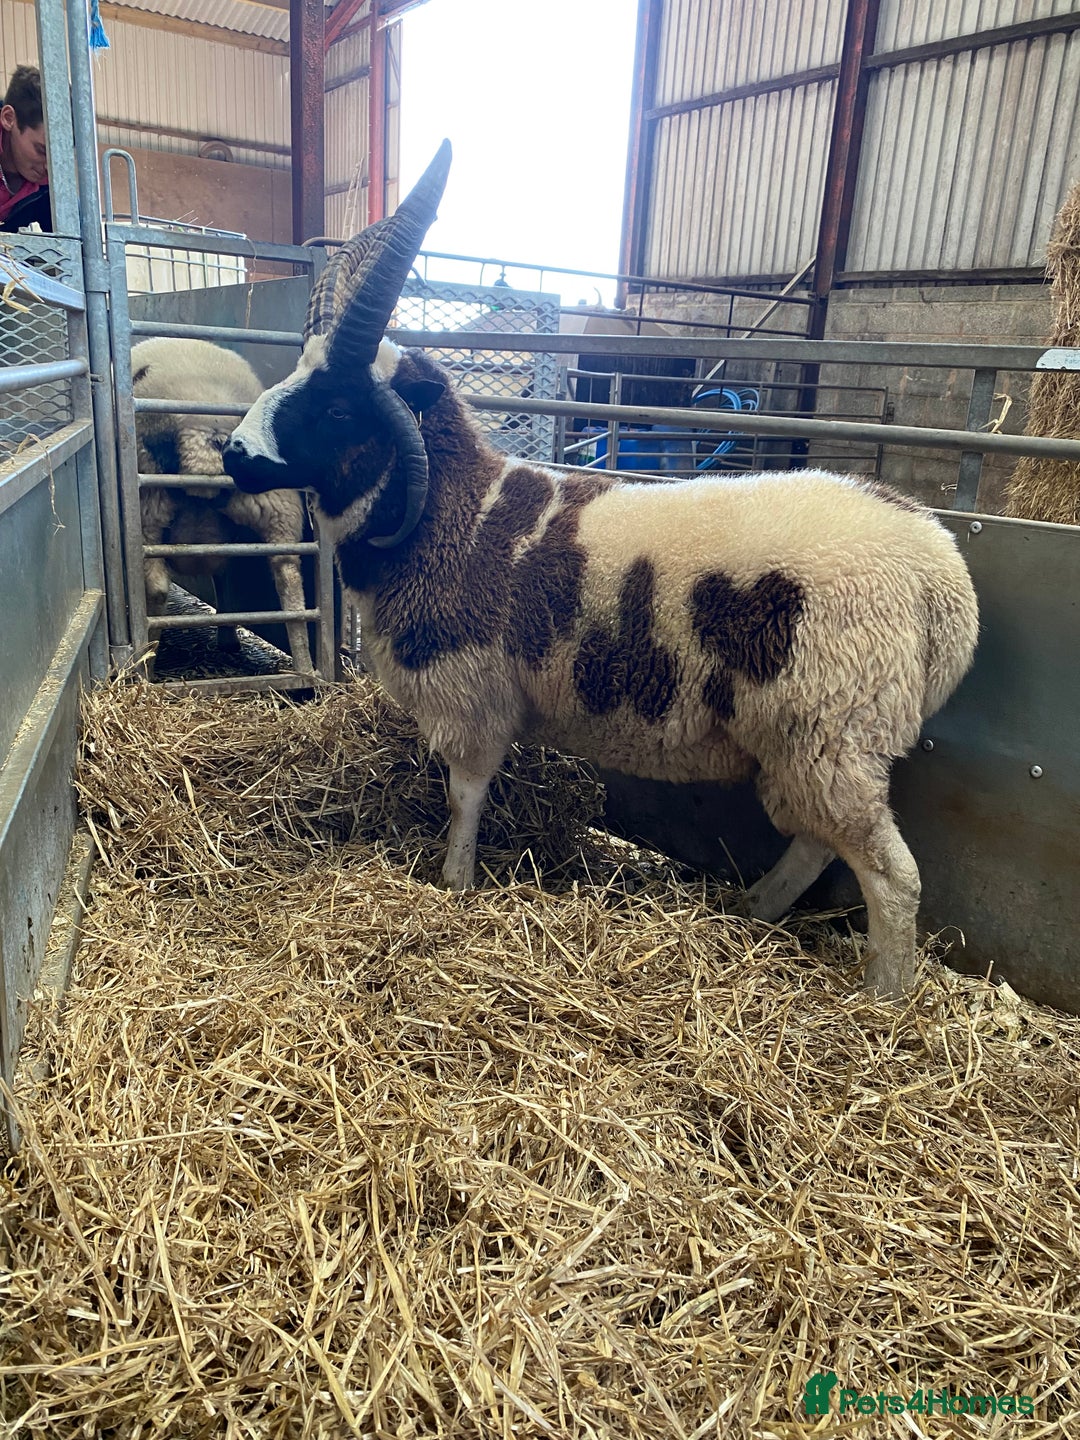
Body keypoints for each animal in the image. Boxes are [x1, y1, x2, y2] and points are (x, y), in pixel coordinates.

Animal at [132, 337, 315, 675]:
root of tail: (205, 431)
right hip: (275, 503)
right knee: (288, 576)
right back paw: (304, 669)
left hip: (148, 504)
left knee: (157, 587)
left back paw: (146, 667)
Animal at [222, 143, 979, 999]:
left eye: (340, 407)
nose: (234, 453)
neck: (457, 516)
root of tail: (940, 571)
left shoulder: (472, 698)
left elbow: (465, 799)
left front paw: (452, 886)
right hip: (819, 744)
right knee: (820, 843)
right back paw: (755, 908)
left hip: (834, 731)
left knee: (889, 872)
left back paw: (884, 994)